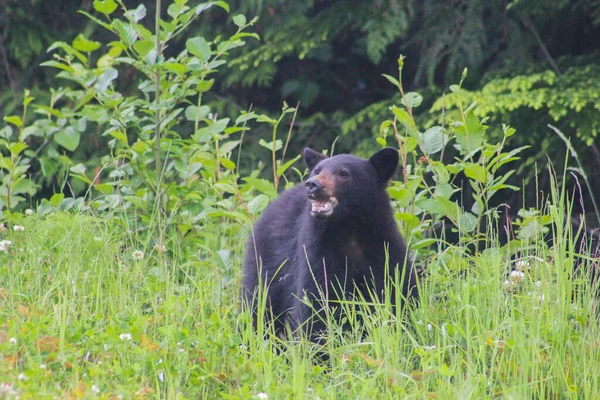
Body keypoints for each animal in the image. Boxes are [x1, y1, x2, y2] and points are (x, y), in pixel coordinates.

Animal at [241, 147, 420, 340]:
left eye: (343, 173)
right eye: (317, 171)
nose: (312, 184)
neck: (348, 228)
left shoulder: (383, 247)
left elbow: (399, 292)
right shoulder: (317, 252)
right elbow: (314, 303)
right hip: (264, 267)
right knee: (258, 308)